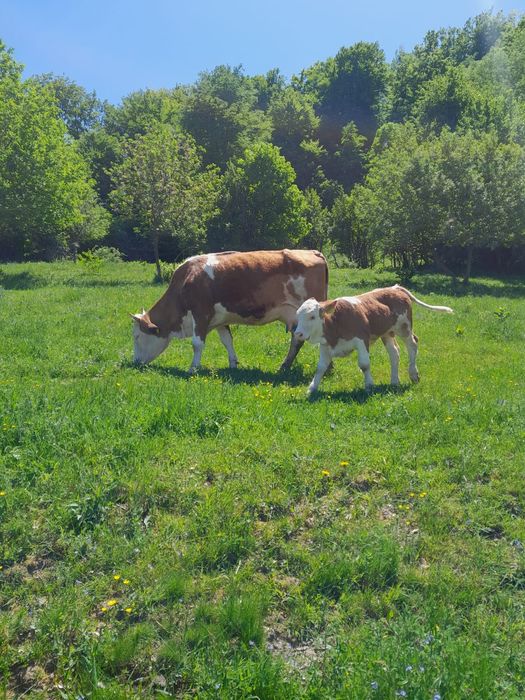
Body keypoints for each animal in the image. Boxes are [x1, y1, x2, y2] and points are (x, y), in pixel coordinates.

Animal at [131, 249, 328, 372]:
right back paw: (285, 366)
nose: (135, 362)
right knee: (296, 341)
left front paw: (192, 368)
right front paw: (233, 364)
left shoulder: (200, 313)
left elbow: (197, 344)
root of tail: (313, 252)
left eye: (137, 336)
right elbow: (227, 341)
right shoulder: (219, 319)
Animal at [293, 285, 453, 395]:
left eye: (312, 316)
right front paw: (312, 388)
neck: (336, 321)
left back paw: (413, 374)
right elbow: (321, 367)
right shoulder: (326, 345)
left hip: (404, 327)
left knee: (413, 345)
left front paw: (369, 385)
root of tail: (395, 288)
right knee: (394, 354)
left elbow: (364, 364)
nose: (298, 334)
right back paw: (394, 381)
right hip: (387, 333)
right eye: (298, 315)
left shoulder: (361, 340)